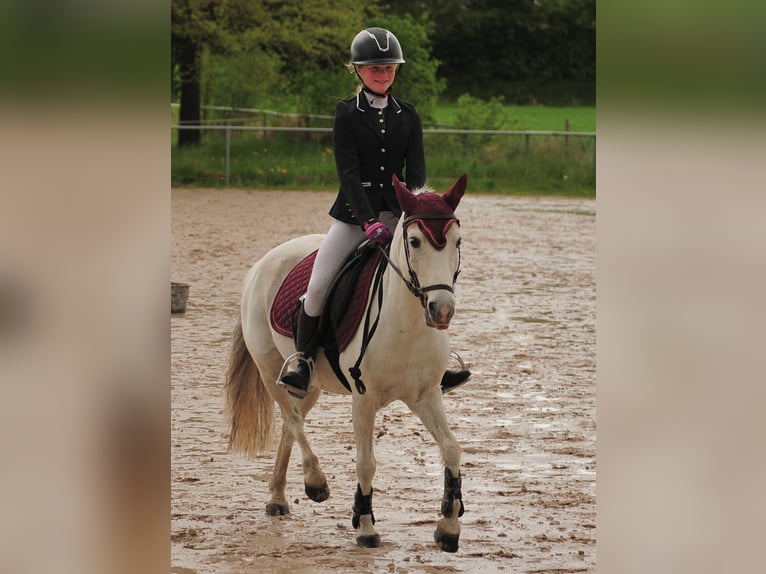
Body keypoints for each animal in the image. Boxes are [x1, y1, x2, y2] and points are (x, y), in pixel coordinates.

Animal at [225, 174, 467, 552]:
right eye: (414, 242)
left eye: (458, 241)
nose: (441, 310)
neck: (407, 323)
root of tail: (263, 263)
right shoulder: (363, 399)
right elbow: (366, 463)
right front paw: (366, 526)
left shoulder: (426, 395)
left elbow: (452, 449)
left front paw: (449, 526)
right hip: (269, 370)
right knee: (291, 418)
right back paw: (315, 482)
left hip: (309, 385)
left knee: (291, 422)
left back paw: (278, 497)